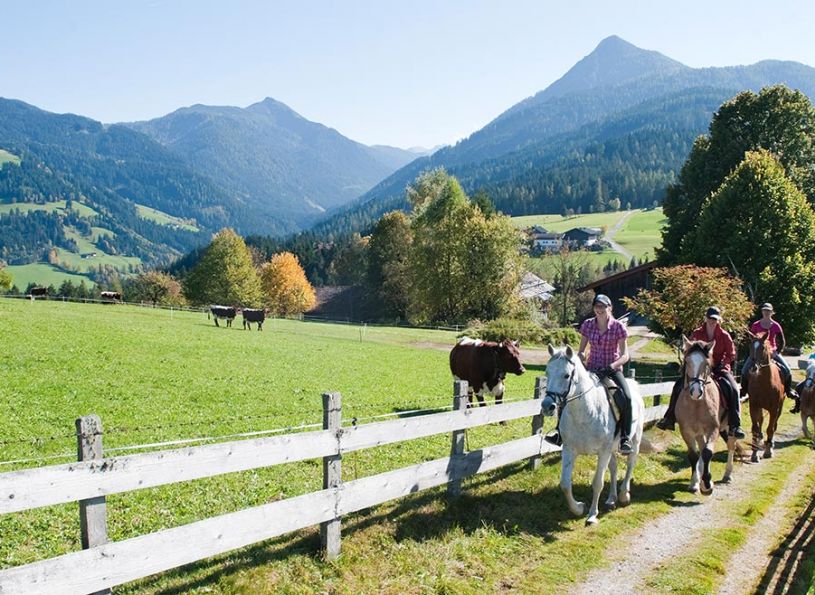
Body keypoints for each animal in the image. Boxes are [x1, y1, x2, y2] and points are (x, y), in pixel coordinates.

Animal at [540, 344, 648, 528]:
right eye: (547, 372)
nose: (547, 406)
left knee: (630, 463)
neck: (585, 412)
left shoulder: (603, 452)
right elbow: (565, 484)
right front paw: (578, 508)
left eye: (566, 375)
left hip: (634, 440)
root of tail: (633, 385)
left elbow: (597, 483)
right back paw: (611, 499)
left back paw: (624, 495)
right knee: (614, 467)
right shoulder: (569, 449)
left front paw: (592, 515)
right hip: (611, 448)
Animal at [676, 338, 740, 496]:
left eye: (706, 363)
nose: (695, 391)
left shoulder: (713, 428)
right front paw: (695, 483)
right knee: (702, 446)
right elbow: (694, 455)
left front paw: (707, 484)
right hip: (699, 432)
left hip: (729, 427)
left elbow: (707, 453)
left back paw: (727, 474)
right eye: (687, 361)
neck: (696, 404)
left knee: (731, 445)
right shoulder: (686, 431)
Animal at [744, 332, 788, 464]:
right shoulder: (754, 406)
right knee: (761, 421)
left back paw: (770, 443)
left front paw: (768, 451)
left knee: (774, 424)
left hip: (780, 406)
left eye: (762, 348)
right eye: (750, 347)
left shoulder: (774, 408)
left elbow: (770, 428)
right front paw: (754, 454)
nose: (753, 368)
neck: (764, 383)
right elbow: (755, 428)